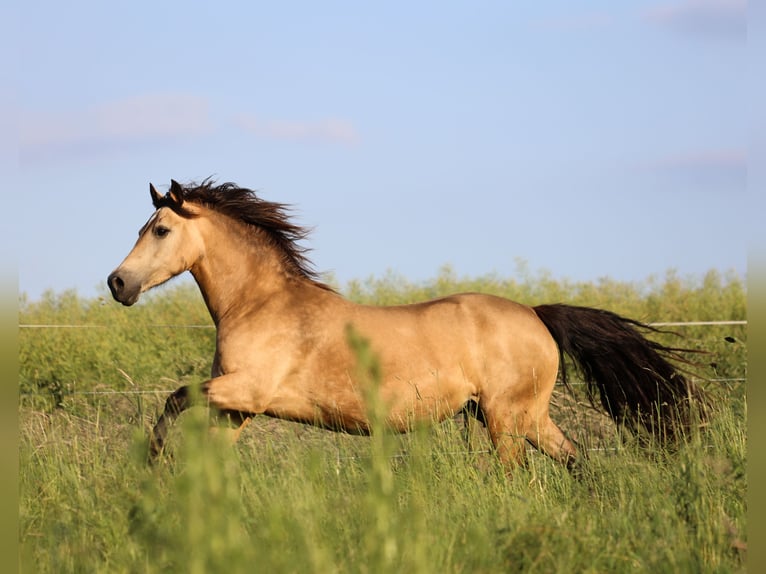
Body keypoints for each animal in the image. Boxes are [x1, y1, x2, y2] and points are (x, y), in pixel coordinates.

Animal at [108, 180, 708, 472]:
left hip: (506, 420)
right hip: (525, 418)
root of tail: (536, 316)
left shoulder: (246, 392)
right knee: (576, 462)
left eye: (159, 230)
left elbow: (173, 398)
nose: (117, 283)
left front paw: (151, 465)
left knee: (520, 475)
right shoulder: (235, 410)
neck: (261, 306)